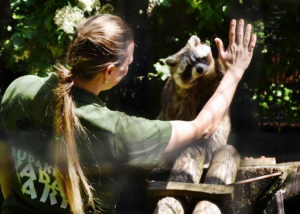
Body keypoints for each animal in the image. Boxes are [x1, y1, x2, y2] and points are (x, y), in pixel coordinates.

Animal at [158, 35, 231, 163]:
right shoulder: (182, 97)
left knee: (217, 132)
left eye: (199, 59)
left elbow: (220, 84)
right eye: (188, 68)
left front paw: (218, 62)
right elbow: (183, 116)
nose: (199, 69)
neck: (199, 79)